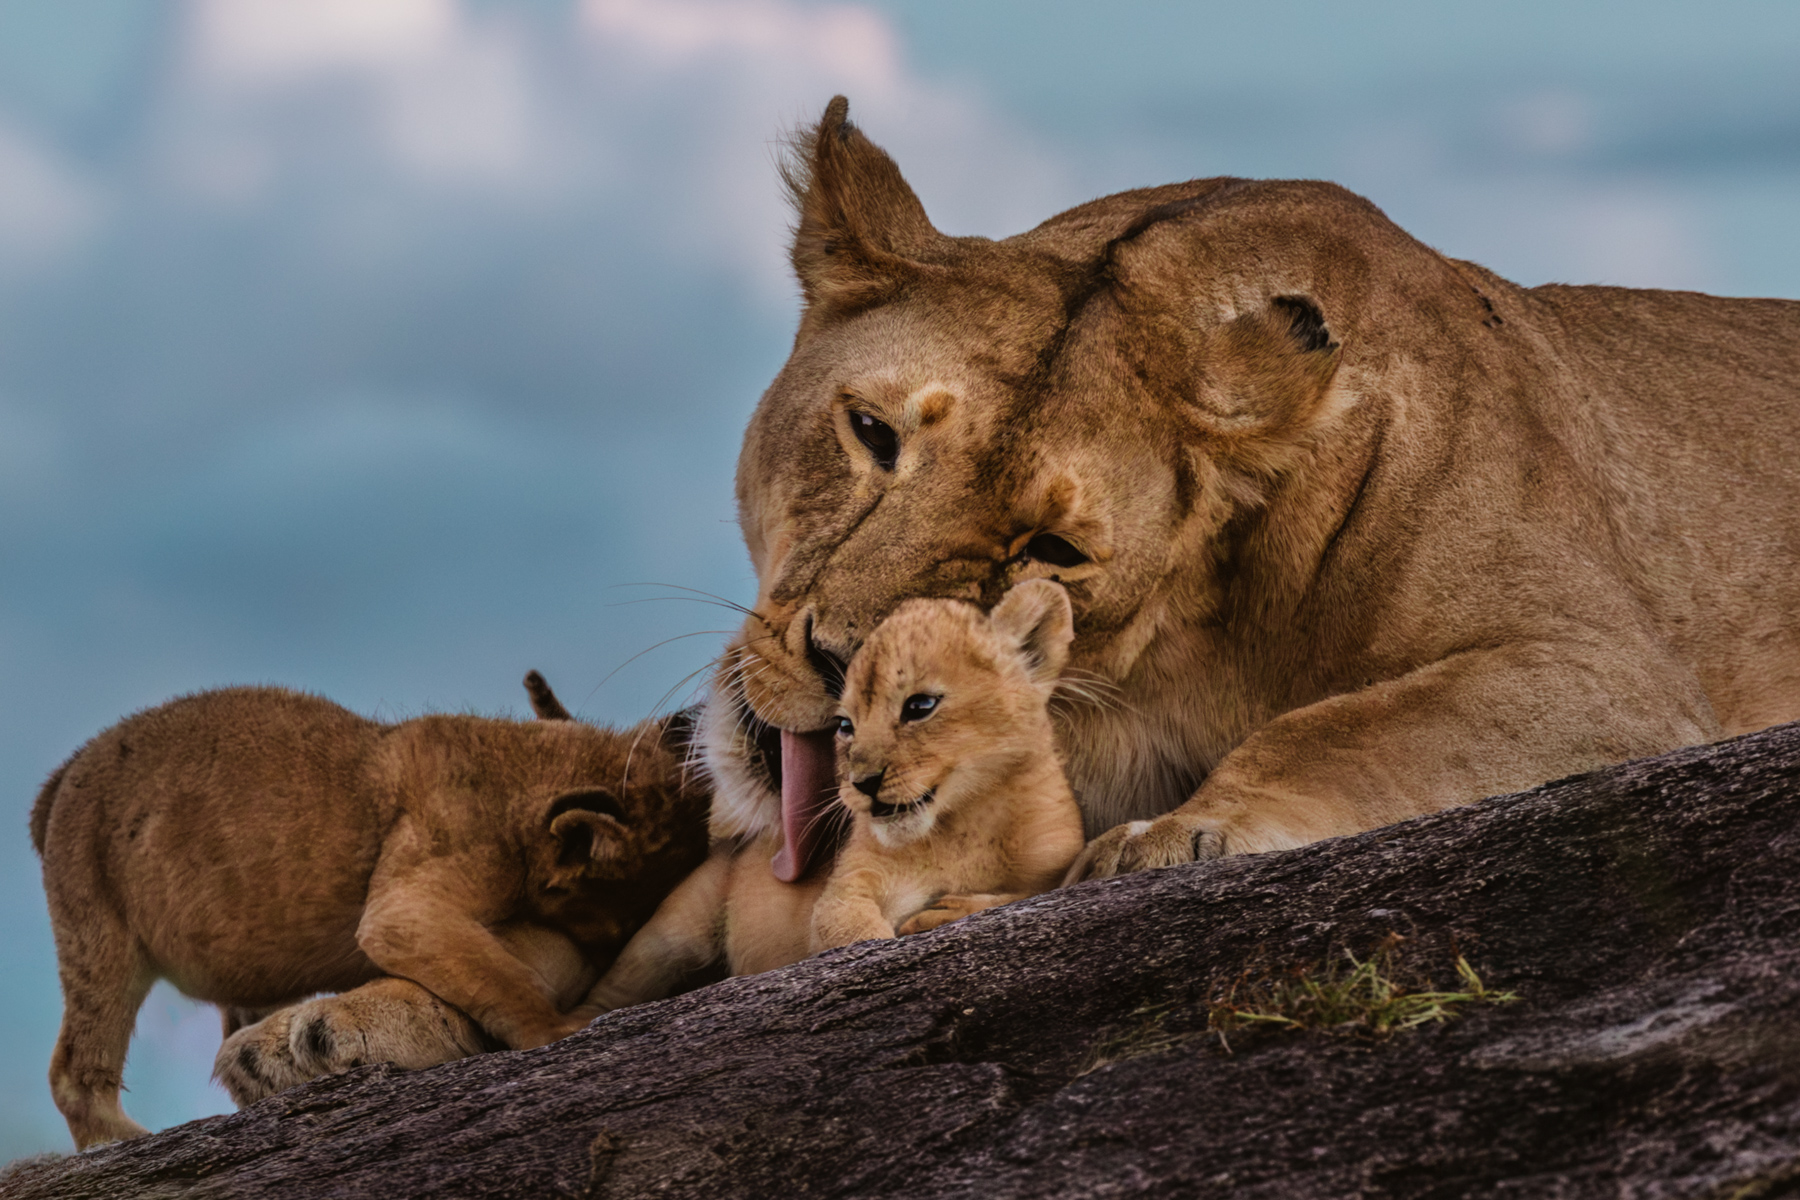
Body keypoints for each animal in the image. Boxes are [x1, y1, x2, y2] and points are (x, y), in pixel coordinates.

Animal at [32, 674, 707, 1148]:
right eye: (617, 925)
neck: (524, 768)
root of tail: (59, 777)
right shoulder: (405, 909)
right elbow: (505, 978)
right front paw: (562, 1032)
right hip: (98, 931)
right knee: (73, 1069)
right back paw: (122, 1142)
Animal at [705, 94, 1800, 894]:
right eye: (871, 432)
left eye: (1053, 551)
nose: (847, 665)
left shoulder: (1609, 674)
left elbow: (1339, 726)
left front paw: (1184, 828)